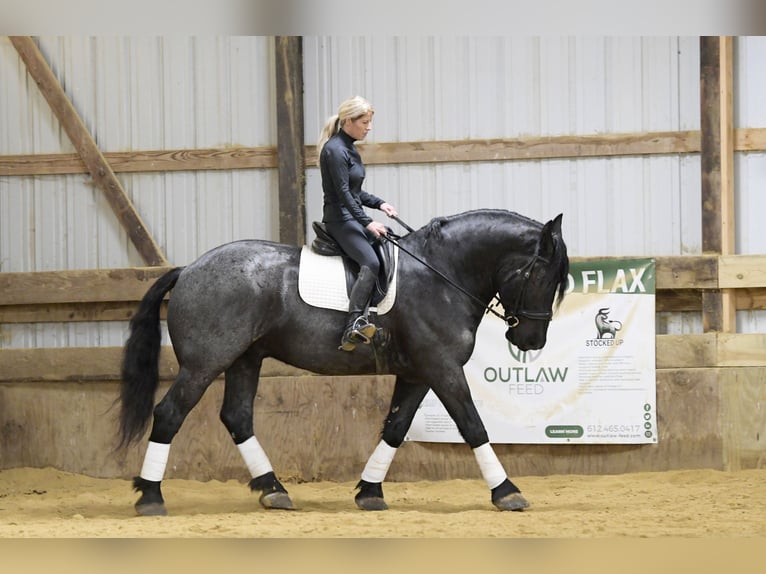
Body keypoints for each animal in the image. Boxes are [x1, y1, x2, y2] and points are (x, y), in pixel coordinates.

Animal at [118, 209, 568, 516]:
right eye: (542, 277)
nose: (531, 342)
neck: (442, 275)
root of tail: (188, 269)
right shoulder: (442, 367)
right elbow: (472, 425)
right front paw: (507, 491)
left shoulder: (417, 373)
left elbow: (396, 428)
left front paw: (369, 491)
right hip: (205, 363)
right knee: (171, 413)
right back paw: (151, 496)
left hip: (246, 359)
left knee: (237, 417)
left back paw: (273, 489)